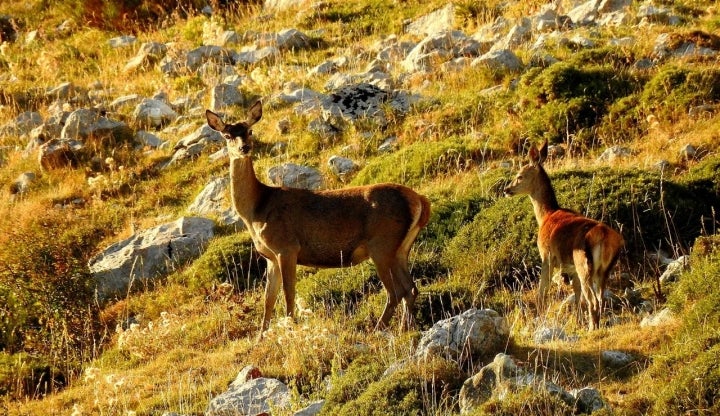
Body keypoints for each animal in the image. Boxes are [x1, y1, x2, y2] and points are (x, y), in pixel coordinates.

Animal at [204, 102, 428, 336]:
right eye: (227, 135)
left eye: (250, 131)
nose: (244, 148)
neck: (257, 209)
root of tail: (419, 200)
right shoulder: (270, 257)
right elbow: (268, 299)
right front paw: (261, 336)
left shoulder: (287, 247)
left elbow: (288, 294)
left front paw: (290, 327)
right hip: (401, 248)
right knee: (411, 288)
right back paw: (406, 328)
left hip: (382, 243)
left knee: (395, 291)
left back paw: (378, 328)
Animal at [500, 141, 624, 330]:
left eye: (520, 176)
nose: (506, 190)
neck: (547, 215)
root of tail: (604, 236)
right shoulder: (570, 267)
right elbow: (576, 294)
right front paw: (578, 321)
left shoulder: (547, 256)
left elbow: (542, 290)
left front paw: (540, 316)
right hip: (604, 269)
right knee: (600, 299)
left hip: (584, 264)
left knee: (593, 301)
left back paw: (591, 329)